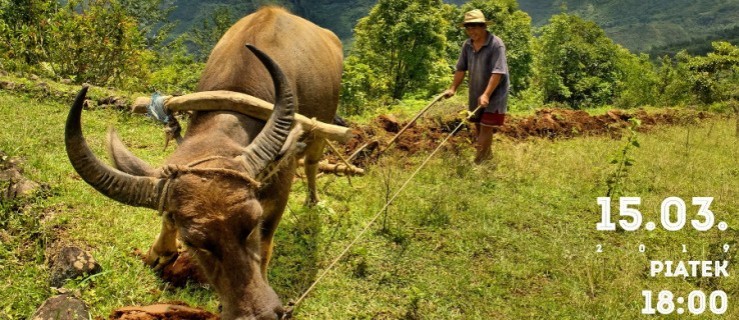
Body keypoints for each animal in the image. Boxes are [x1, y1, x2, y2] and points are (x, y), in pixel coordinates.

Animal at [65, 6, 342, 320]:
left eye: (253, 222)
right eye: (193, 242)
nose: (259, 313)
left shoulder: (279, 187)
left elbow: (267, 244)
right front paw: (160, 251)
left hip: (322, 128)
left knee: (312, 162)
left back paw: (312, 200)